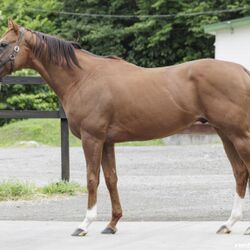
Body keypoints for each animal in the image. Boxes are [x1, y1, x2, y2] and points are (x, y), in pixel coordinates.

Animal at [0, 20, 250, 236]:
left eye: (3, 44)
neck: (82, 78)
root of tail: (242, 72)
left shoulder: (92, 139)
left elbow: (92, 179)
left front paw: (84, 225)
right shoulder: (107, 141)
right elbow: (111, 179)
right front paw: (112, 224)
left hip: (239, 135)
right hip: (226, 135)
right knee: (240, 172)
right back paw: (228, 224)